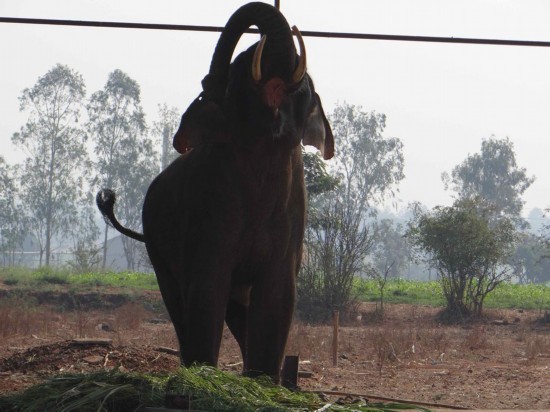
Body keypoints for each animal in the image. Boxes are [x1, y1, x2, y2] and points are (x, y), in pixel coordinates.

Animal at [97, 2, 334, 384]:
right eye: (237, 72)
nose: (265, 42)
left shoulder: (291, 223)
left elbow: (278, 296)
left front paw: (262, 384)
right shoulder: (208, 211)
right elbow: (206, 290)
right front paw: (205, 377)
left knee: (239, 316)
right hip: (157, 247)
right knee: (179, 303)